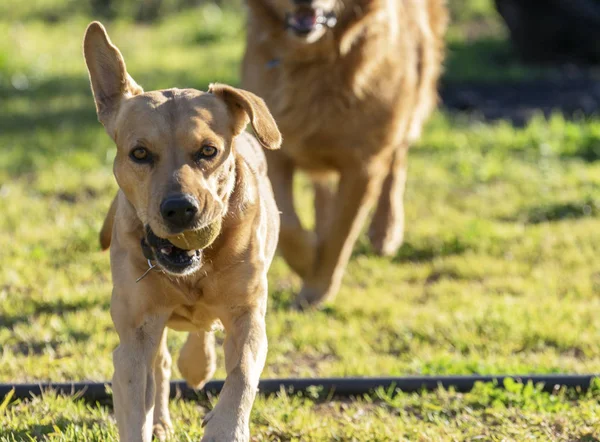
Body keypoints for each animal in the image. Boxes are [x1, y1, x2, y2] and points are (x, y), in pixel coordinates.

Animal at [84, 22, 284, 442]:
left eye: (208, 151)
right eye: (139, 153)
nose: (179, 209)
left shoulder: (247, 312)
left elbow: (242, 373)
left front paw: (225, 427)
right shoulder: (135, 332)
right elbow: (137, 391)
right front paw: (149, 420)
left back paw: (198, 363)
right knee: (160, 364)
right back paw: (163, 415)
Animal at [241, 0, 448, 308]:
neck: (314, 59)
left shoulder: (363, 164)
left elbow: (341, 232)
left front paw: (317, 288)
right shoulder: (275, 156)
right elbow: (289, 225)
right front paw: (308, 259)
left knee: (397, 161)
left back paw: (385, 229)